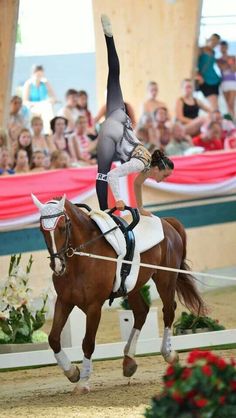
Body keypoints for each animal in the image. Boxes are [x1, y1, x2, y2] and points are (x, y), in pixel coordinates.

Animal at [31, 194, 205, 394]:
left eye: (62, 227)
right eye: (42, 230)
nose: (57, 266)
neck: (81, 258)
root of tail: (166, 222)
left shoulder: (94, 307)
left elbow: (88, 342)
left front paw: (83, 382)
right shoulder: (64, 301)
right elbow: (53, 339)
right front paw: (72, 372)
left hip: (165, 278)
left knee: (168, 311)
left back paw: (169, 354)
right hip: (134, 287)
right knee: (141, 312)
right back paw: (129, 361)